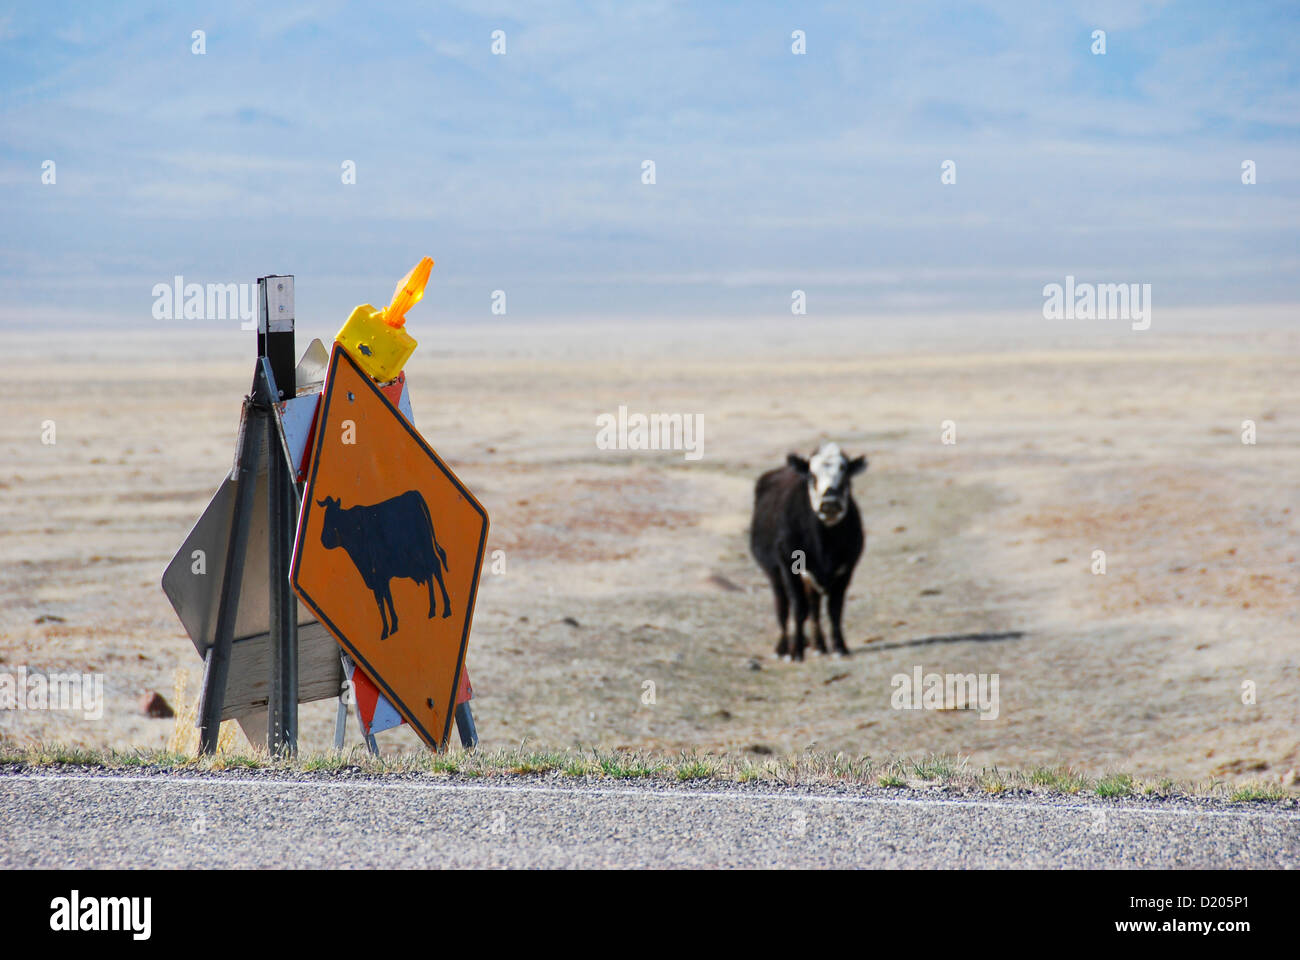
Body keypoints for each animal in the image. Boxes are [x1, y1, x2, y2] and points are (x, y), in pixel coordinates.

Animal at [315, 490, 451, 640]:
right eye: (325, 517)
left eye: (333, 518)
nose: (323, 539)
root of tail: (412, 493)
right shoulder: (377, 578)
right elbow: (383, 600)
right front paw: (389, 628)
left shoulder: (380, 574)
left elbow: (385, 600)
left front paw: (390, 628)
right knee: (429, 573)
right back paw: (432, 610)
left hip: (425, 548)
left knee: (436, 568)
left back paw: (446, 609)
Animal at [749, 442, 867, 661]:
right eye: (812, 476)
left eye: (845, 474)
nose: (830, 503)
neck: (824, 544)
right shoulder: (789, 566)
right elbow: (798, 608)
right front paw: (796, 652)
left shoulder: (846, 568)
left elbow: (834, 609)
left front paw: (840, 647)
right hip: (775, 574)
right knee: (783, 606)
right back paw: (783, 647)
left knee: (814, 607)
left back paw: (819, 645)